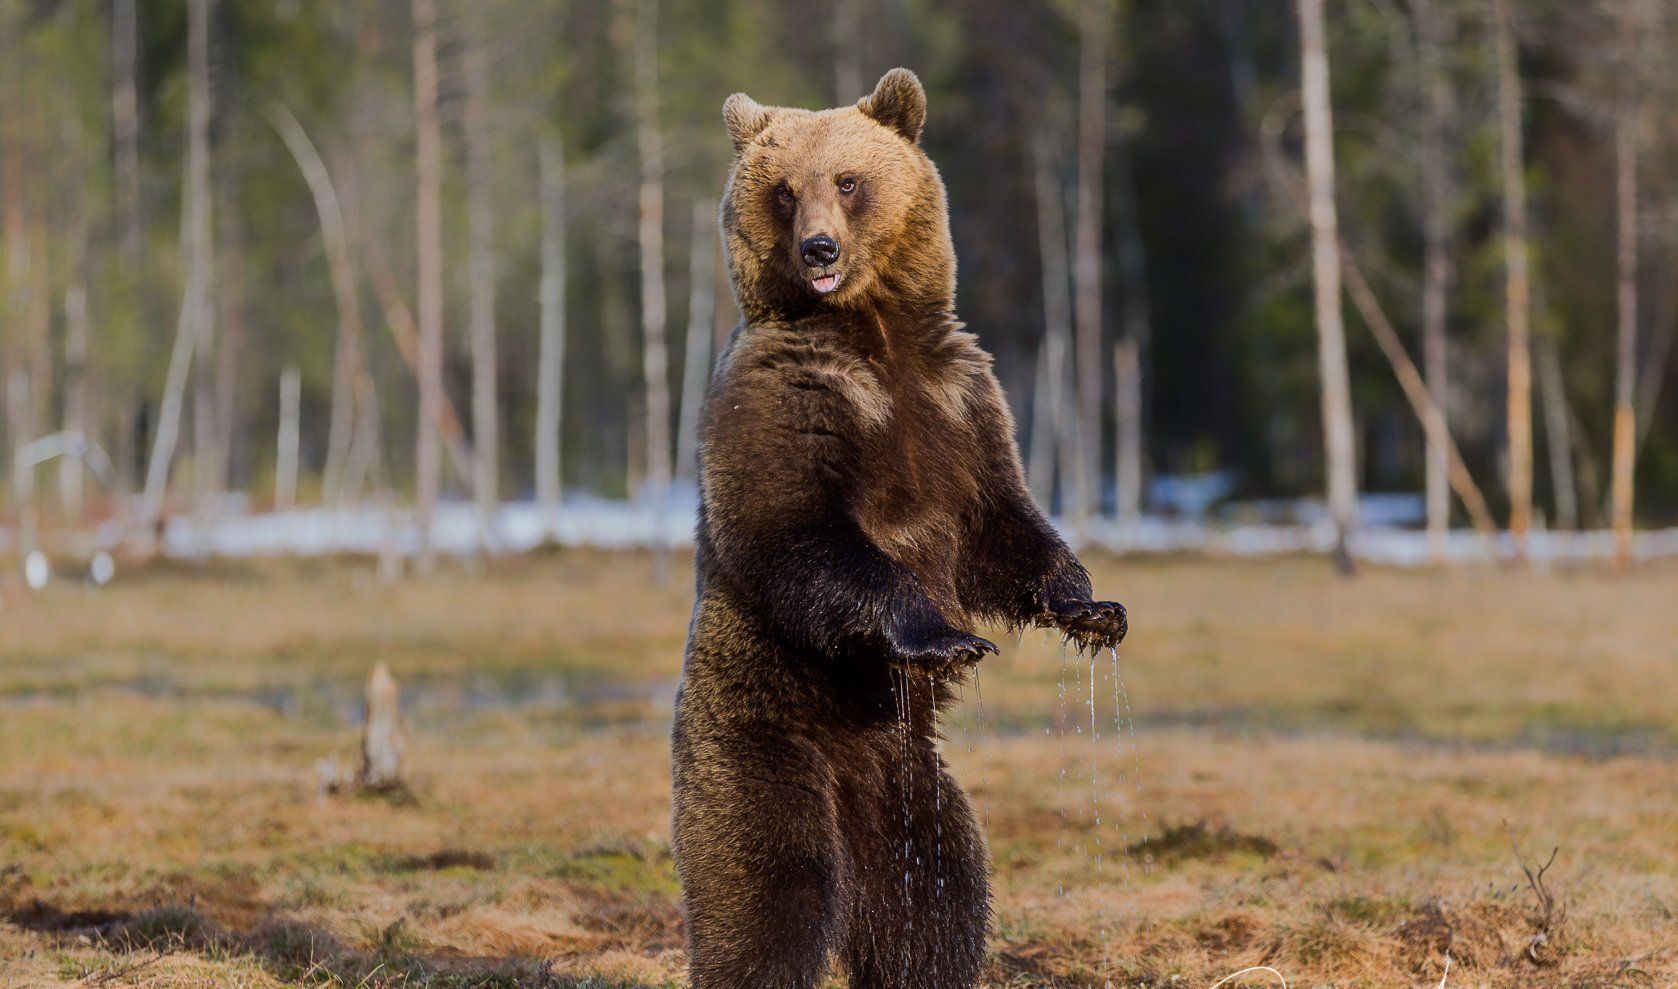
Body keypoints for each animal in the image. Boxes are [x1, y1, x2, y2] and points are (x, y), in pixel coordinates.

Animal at [672, 67, 1127, 989]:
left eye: (848, 180)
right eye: (784, 189)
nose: (818, 249)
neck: (872, 332)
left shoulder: (960, 403)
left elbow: (1003, 526)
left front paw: (1091, 608)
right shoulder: (787, 399)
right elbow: (800, 532)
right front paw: (945, 636)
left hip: (914, 793)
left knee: (940, 906)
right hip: (756, 742)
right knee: (763, 896)